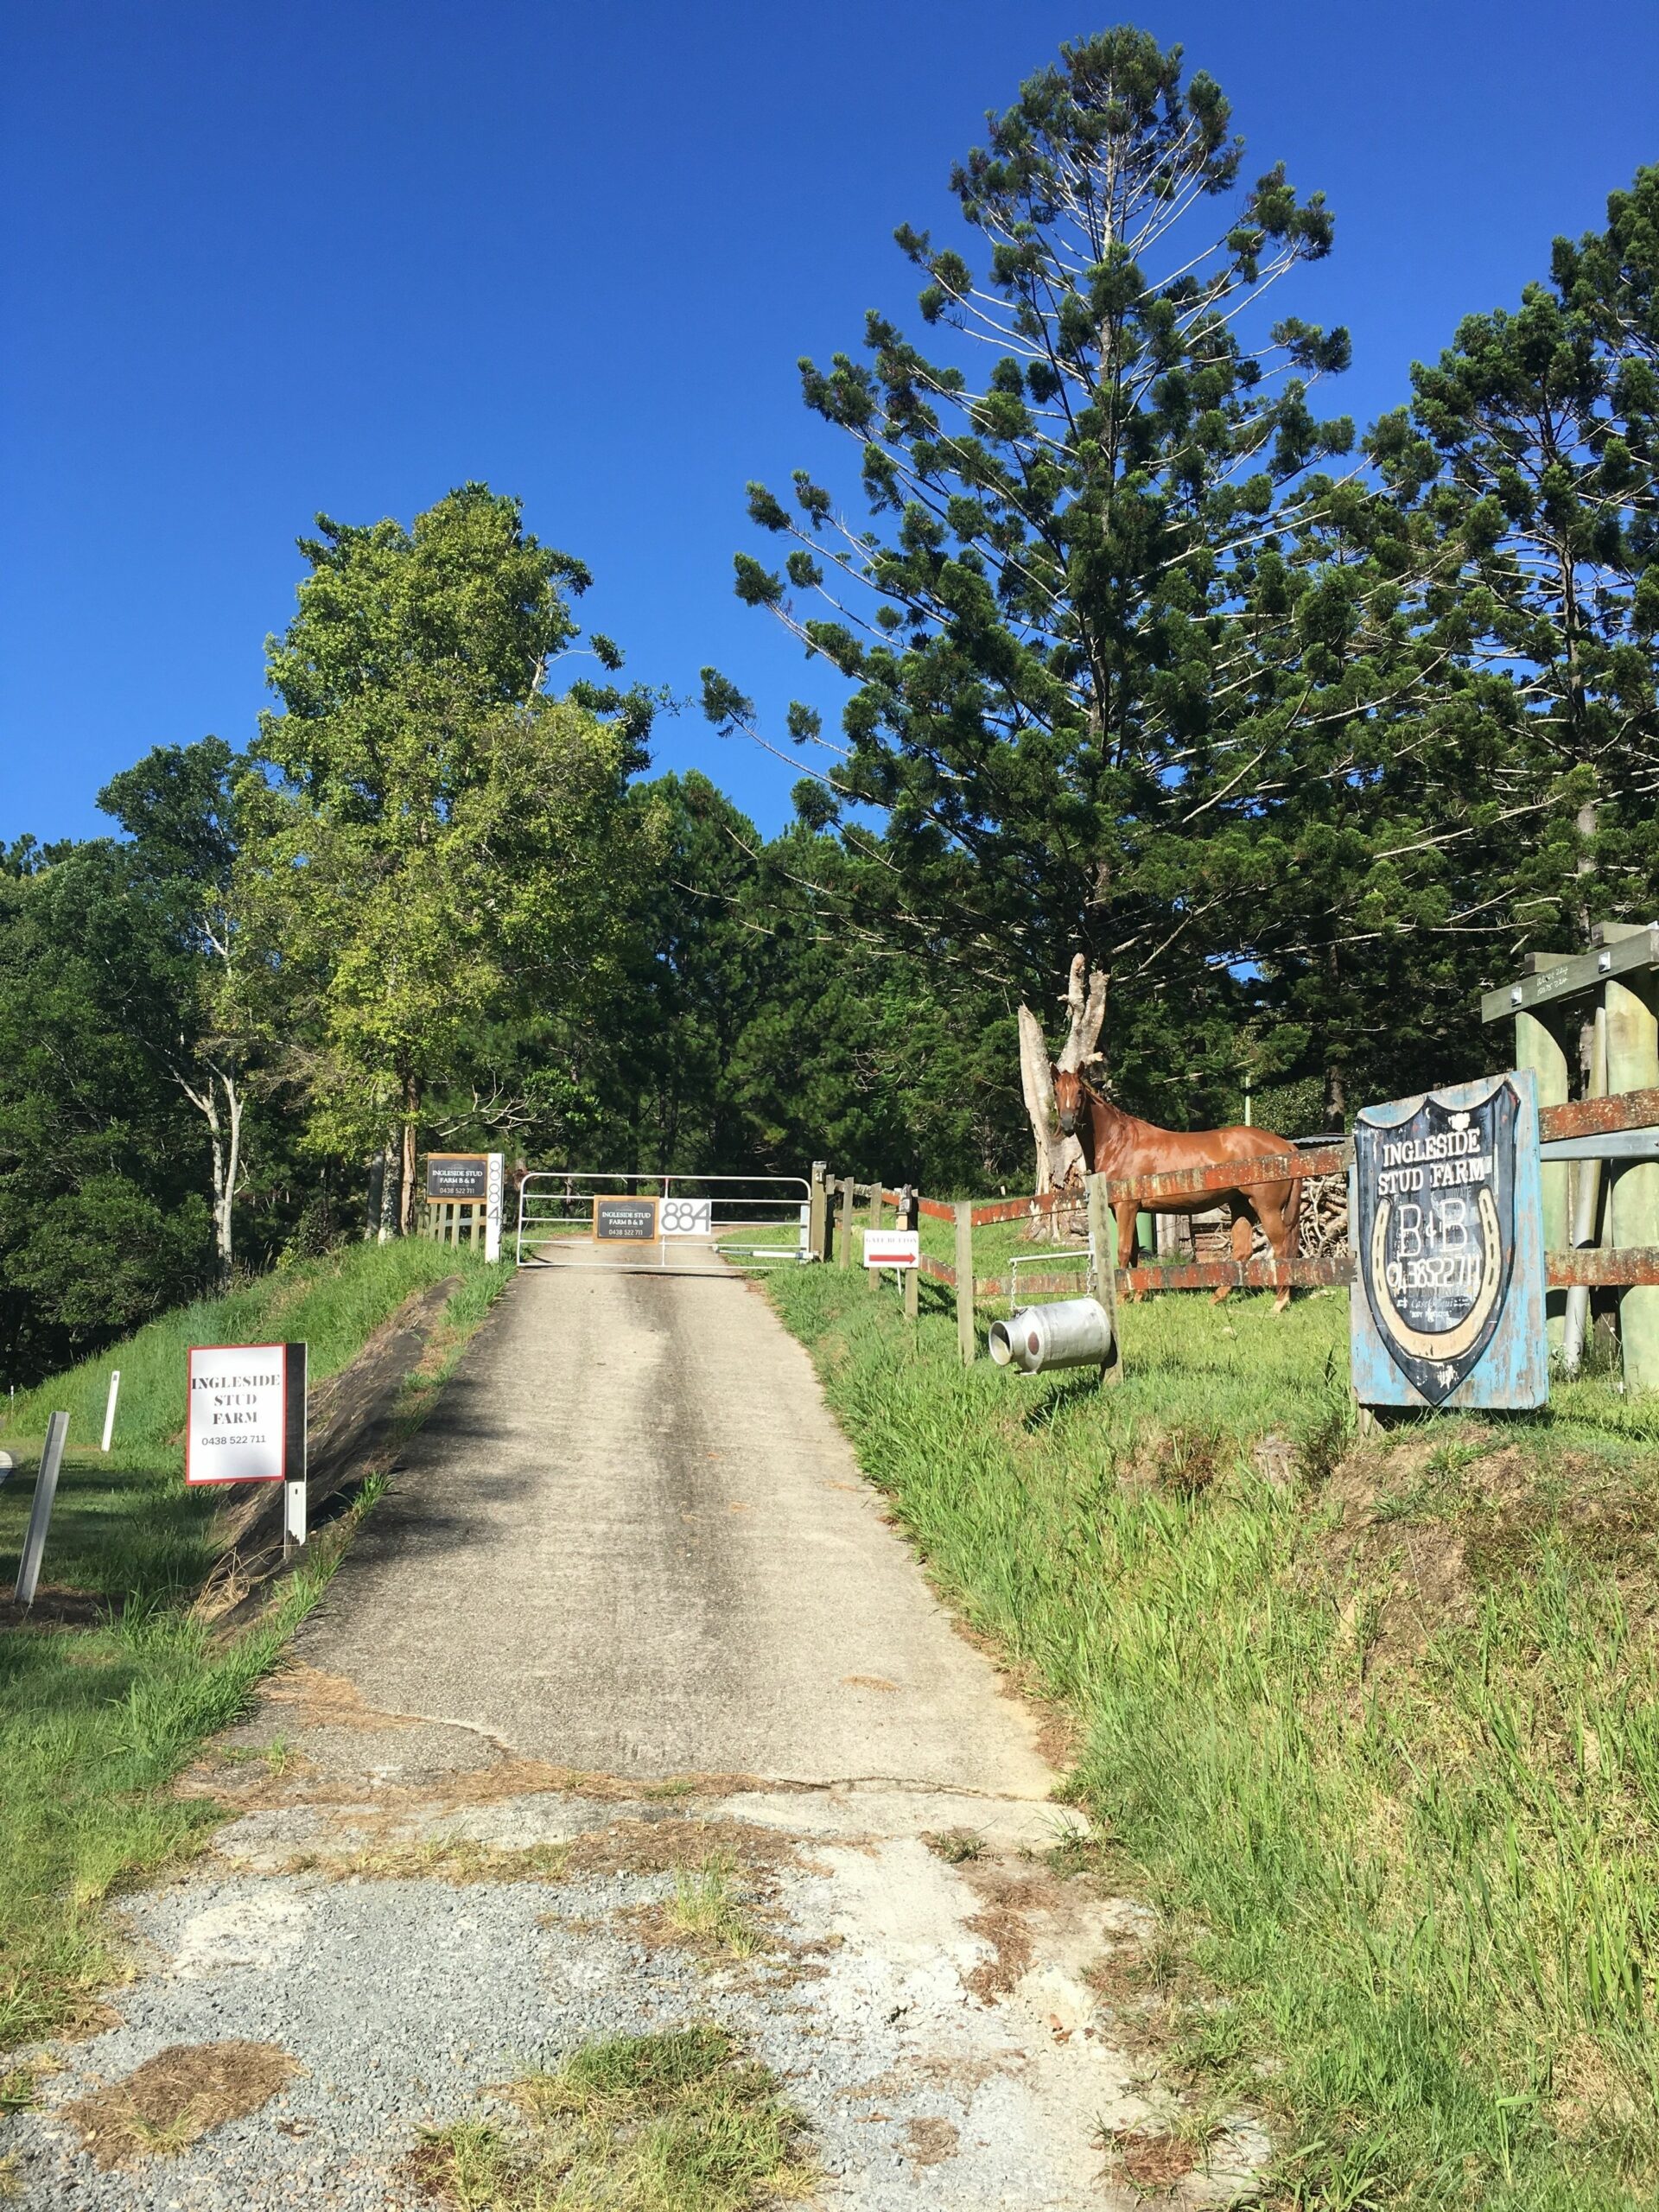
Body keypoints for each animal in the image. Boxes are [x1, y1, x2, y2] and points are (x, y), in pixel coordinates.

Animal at [1057, 1061, 1309, 1300]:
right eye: (1057, 1091)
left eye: (1079, 1091)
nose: (1068, 1124)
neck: (1119, 1143)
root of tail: (1285, 1145)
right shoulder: (1127, 1209)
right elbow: (1135, 1250)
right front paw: (1137, 1295)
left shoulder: (1126, 1207)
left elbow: (1124, 1250)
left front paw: (1122, 1297)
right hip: (1241, 1205)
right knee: (1243, 1250)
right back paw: (1218, 1297)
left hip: (1267, 1208)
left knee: (1281, 1246)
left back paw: (1280, 1301)